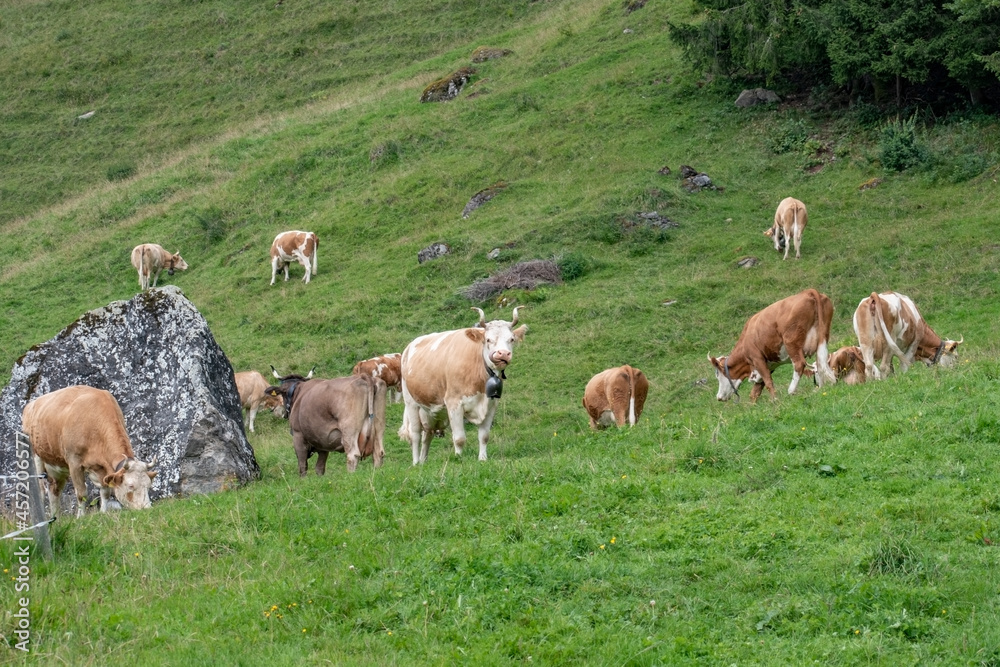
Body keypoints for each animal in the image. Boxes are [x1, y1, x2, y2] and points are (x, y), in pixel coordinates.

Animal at [21, 384, 156, 520]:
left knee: (54, 489)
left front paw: (103, 513)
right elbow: (81, 493)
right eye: (130, 486)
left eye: (148, 485)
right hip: (36, 457)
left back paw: (56, 519)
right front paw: (80, 517)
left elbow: (105, 491)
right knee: (40, 491)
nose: (147, 508)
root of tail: (30, 405)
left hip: (55, 464)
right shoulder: (74, 463)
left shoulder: (101, 467)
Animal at [398, 308, 528, 464]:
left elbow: (484, 436)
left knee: (427, 434)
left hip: (431, 410)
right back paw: (416, 462)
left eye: (511, 339)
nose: (503, 354)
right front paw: (458, 458)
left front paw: (482, 459)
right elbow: (459, 438)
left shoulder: (491, 404)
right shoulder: (454, 403)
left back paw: (424, 462)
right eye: (488, 339)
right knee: (416, 434)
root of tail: (409, 346)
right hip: (411, 403)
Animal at [708, 288, 840, 402]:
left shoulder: (757, 358)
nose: (719, 397)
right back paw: (823, 387)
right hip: (823, 338)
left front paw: (775, 401)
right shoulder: (768, 364)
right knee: (821, 362)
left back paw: (791, 391)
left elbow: (767, 382)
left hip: (791, 342)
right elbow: (756, 389)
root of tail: (807, 292)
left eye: (718, 376)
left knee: (799, 364)